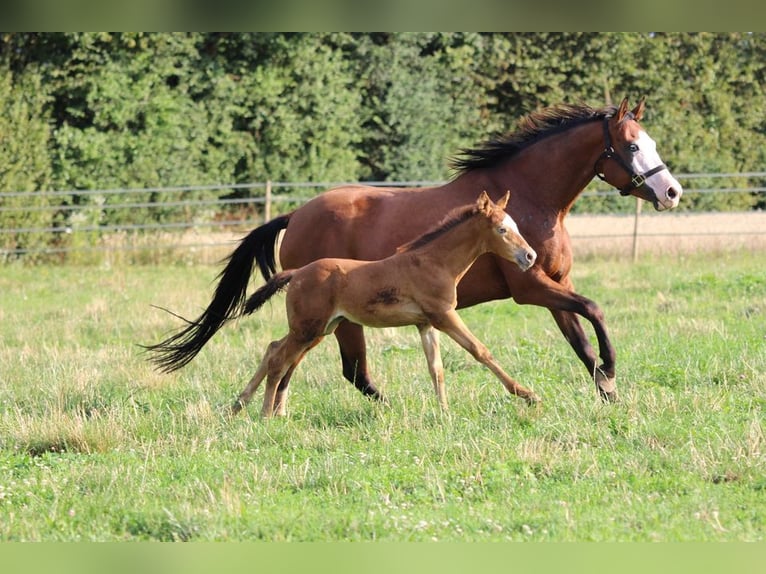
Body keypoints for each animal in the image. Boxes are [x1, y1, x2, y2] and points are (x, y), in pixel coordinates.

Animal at [146, 191, 538, 417]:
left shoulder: (426, 322)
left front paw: (443, 412)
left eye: (516, 225)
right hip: (309, 329)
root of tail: (297, 272)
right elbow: (480, 351)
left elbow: (436, 368)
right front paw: (527, 394)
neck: (432, 261)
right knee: (278, 359)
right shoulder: (444, 316)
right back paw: (264, 414)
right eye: (502, 230)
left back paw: (242, 407)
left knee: (274, 349)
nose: (530, 256)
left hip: (318, 328)